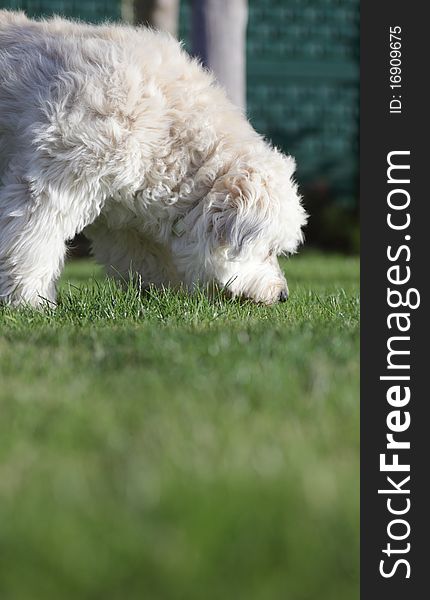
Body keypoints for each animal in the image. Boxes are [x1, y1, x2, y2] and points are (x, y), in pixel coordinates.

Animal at [0, 11, 306, 308]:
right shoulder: (49, 188)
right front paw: (28, 301)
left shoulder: (122, 216)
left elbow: (145, 258)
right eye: (269, 249)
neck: (167, 131)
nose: (283, 296)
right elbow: (29, 244)